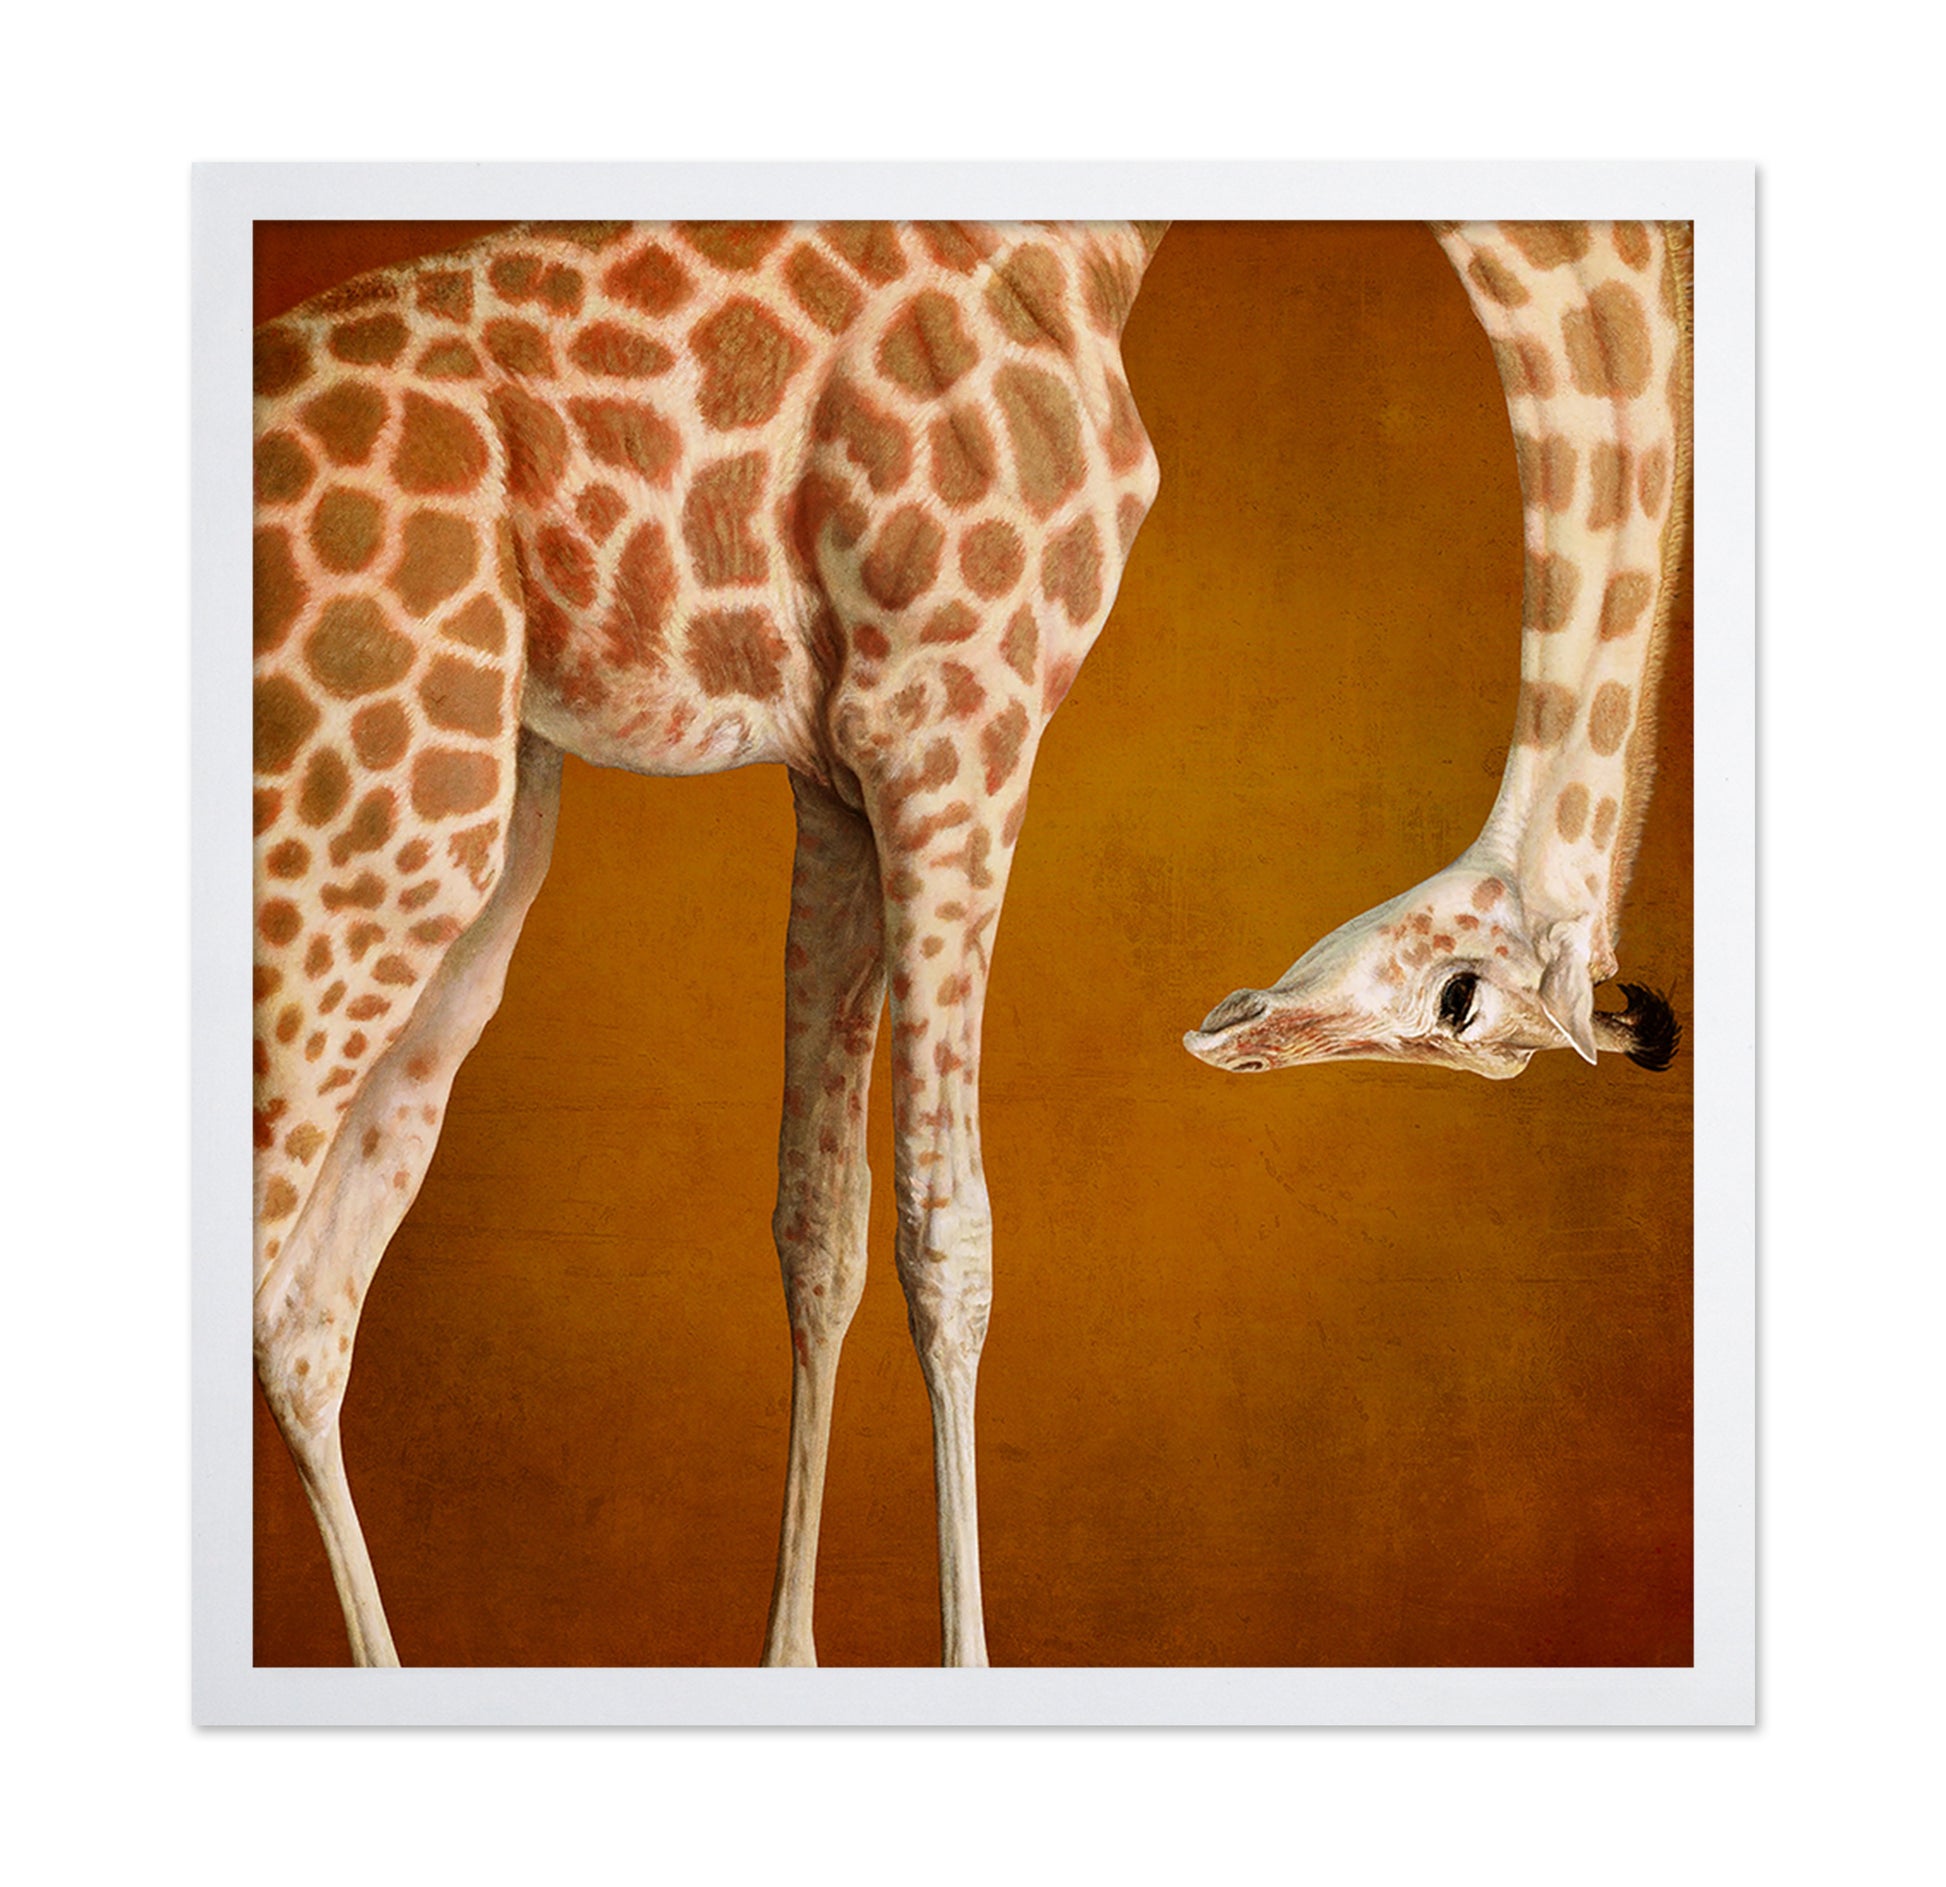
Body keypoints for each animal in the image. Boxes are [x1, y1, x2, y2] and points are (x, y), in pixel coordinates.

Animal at [253, 218, 1166, 1668]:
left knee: (304, 1308)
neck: (1097, 248)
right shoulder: (953, 714)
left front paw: (786, 1657)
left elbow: (819, 1222)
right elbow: (945, 1232)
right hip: (371, 835)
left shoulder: (838, 772)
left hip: (463, 860)